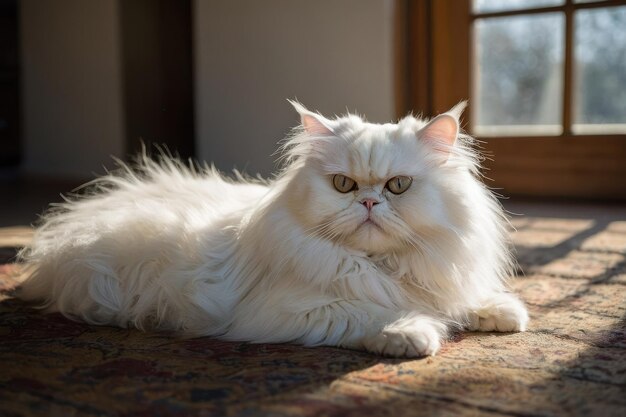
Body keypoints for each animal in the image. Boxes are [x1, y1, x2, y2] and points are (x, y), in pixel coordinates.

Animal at [17, 102, 528, 356]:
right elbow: (378, 309)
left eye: (398, 186)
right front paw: (411, 335)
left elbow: (458, 298)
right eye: (344, 185)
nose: (367, 201)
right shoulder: (292, 310)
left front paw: (501, 313)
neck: (384, 264)